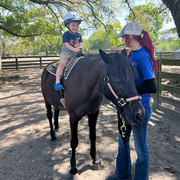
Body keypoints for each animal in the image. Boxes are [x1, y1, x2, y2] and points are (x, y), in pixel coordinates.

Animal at [41, 49, 145, 177]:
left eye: (134, 78)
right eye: (118, 81)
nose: (139, 114)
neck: (85, 84)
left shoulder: (93, 114)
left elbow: (93, 136)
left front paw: (95, 160)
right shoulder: (73, 118)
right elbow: (74, 142)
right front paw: (73, 167)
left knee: (56, 110)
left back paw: (56, 126)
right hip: (46, 101)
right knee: (49, 115)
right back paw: (52, 134)